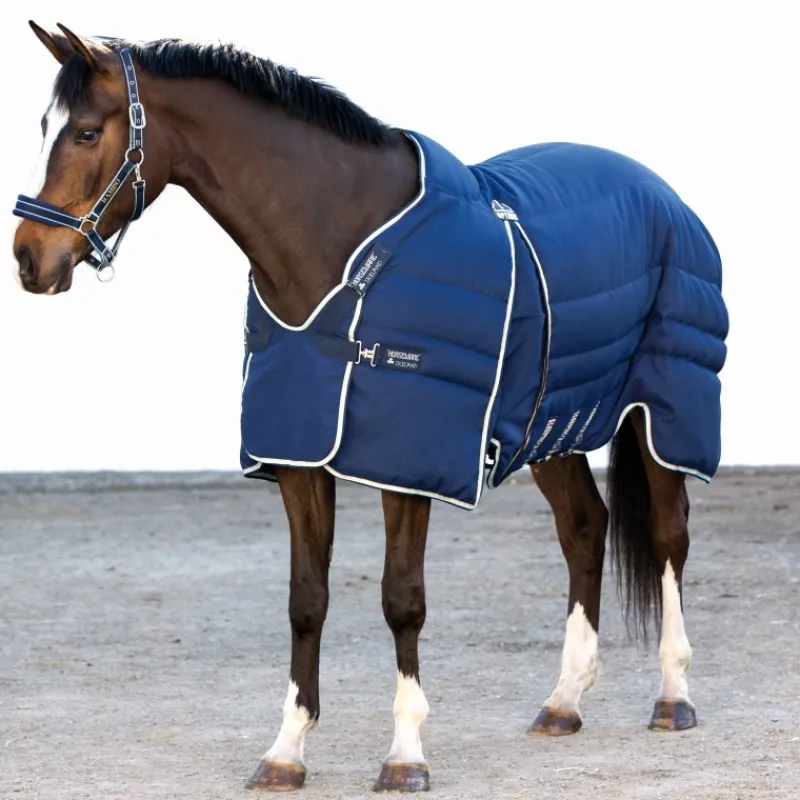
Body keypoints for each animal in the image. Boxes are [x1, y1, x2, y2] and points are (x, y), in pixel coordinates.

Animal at [11, 22, 728, 793]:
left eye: (87, 132)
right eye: (45, 127)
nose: (28, 257)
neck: (341, 255)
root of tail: (662, 192)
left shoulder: (406, 466)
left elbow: (401, 600)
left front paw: (405, 755)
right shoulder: (299, 458)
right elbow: (306, 601)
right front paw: (285, 752)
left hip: (663, 410)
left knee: (668, 534)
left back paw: (673, 697)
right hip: (552, 418)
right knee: (585, 529)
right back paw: (563, 702)